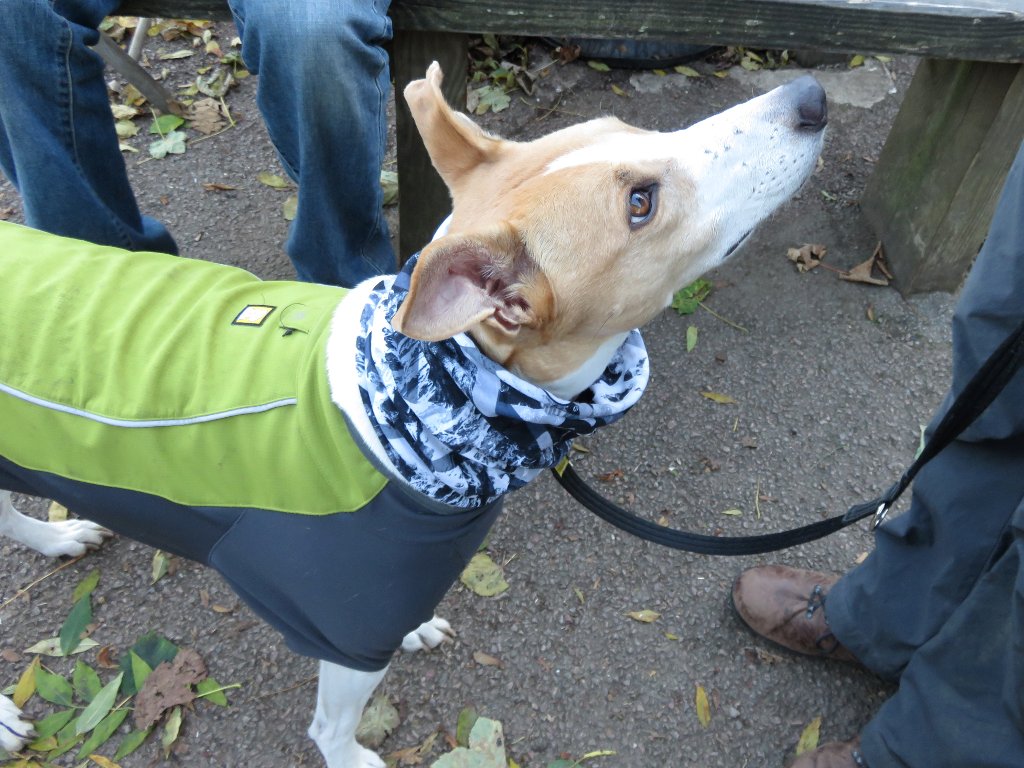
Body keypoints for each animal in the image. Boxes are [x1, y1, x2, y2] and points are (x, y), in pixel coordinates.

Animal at [0, 63, 823, 765]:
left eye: (634, 128)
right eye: (640, 204)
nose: (811, 98)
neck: (420, 412)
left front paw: (421, 625)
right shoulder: (340, 625)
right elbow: (331, 729)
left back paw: (54, 537)